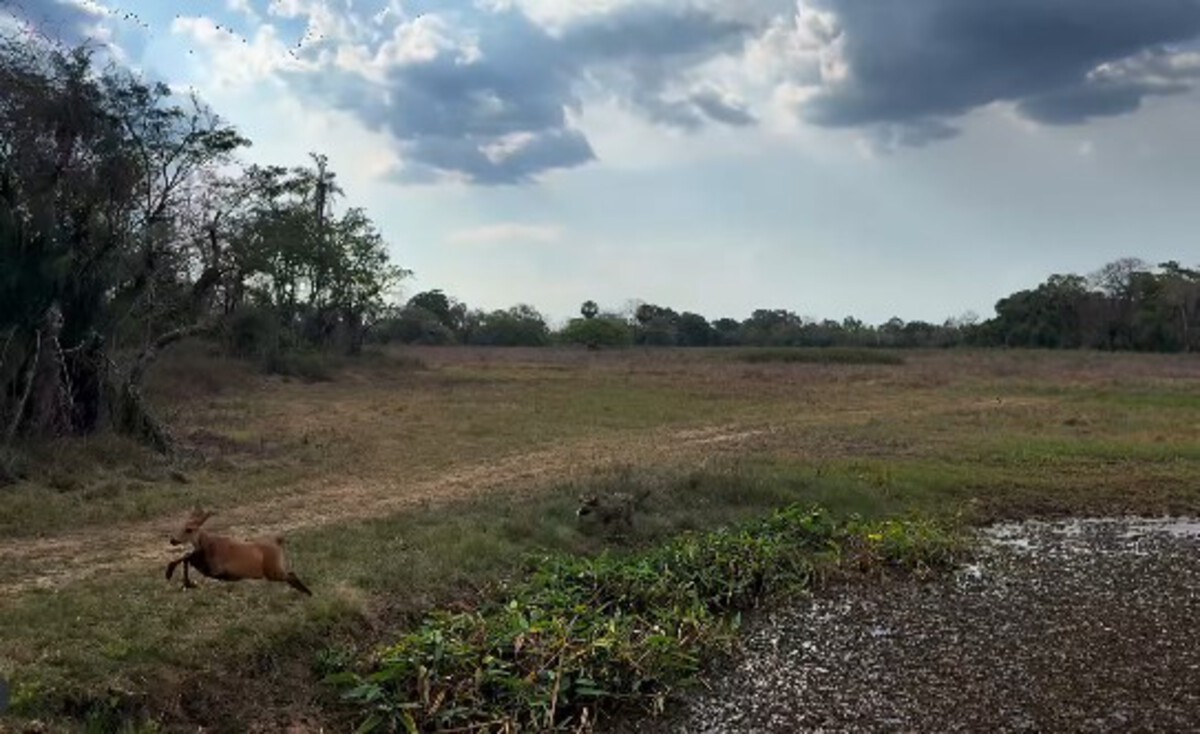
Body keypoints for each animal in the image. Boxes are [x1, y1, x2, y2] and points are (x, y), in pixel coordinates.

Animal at [165, 508, 313, 596]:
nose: (172, 540)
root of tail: (279, 541)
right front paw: (185, 582)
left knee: (290, 574)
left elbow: (187, 557)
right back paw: (307, 593)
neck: (207, 544)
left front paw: (176, 577)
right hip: (275, 570)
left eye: (189, 529)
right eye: (180, 525)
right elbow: (187, 557)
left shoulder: (216, 569)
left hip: (273, 571)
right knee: (291, 574)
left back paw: (308, 593)